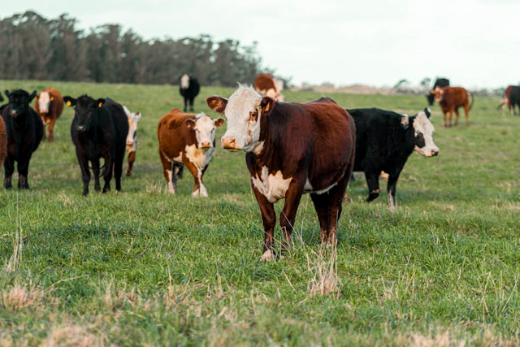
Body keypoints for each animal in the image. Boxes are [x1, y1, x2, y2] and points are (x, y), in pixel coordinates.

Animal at [207, 85, 358, 262]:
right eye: (227, 115)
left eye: (253, 114)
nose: (228, 141)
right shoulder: (256, 183)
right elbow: (268, 219)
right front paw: (267, 254)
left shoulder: (296, 182)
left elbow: (286, 219)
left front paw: (285, 252)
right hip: (318, 182)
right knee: (322, 210)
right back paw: (322, 242)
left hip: (344, 175)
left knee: (334, 209)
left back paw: (330, 244)